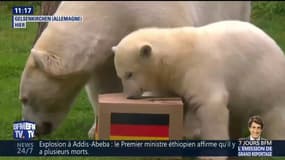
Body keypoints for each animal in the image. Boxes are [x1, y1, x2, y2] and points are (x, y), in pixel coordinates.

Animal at [19, 1, 251, 138]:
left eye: (25, 98)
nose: (33, 130)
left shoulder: (158, 16)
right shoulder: (106, 51)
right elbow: (102, 86)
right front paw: (96, 129)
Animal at [113, 20, 284, 140]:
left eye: (129, 74)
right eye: (119, 75)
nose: (128, 96)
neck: (177, 53)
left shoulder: (199, 70)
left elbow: (211, 105)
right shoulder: (174, 79)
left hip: (267, 84)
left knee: (275, 119)